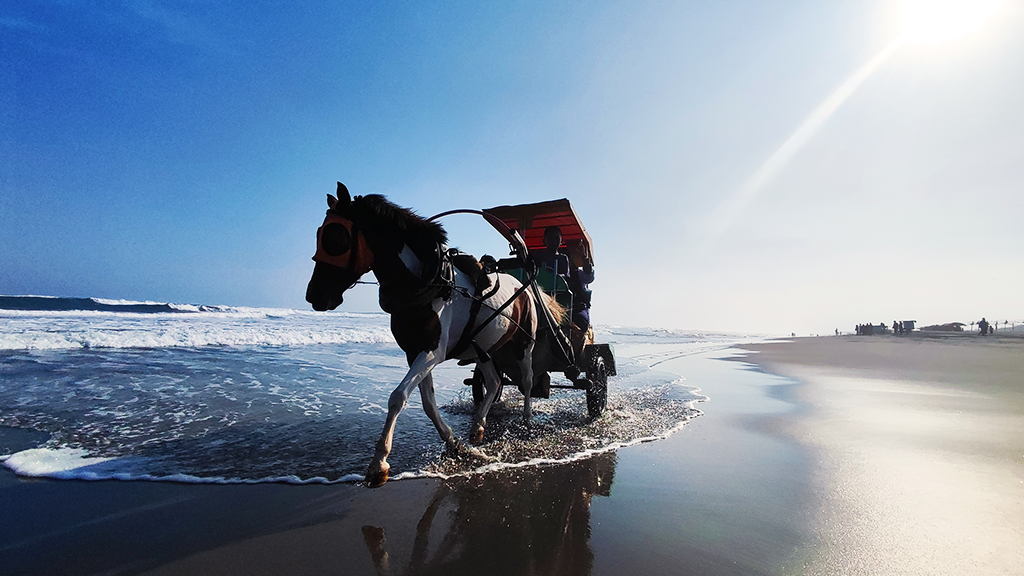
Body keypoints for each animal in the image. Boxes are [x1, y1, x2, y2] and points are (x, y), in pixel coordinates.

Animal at [306, 183, 546, 486]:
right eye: (319, 234)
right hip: (481, 348)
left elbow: (397, 397)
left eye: (336, 238)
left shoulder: (432, 351)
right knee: (493, 383)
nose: (314, 295)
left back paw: (526, 420)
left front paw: (379, 462)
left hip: (524, 344)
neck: (427, 281)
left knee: (527, 380)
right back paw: (478, 425)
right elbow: (429, 404)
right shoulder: (414, 351)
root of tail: (522, 285)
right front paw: (454, 443)